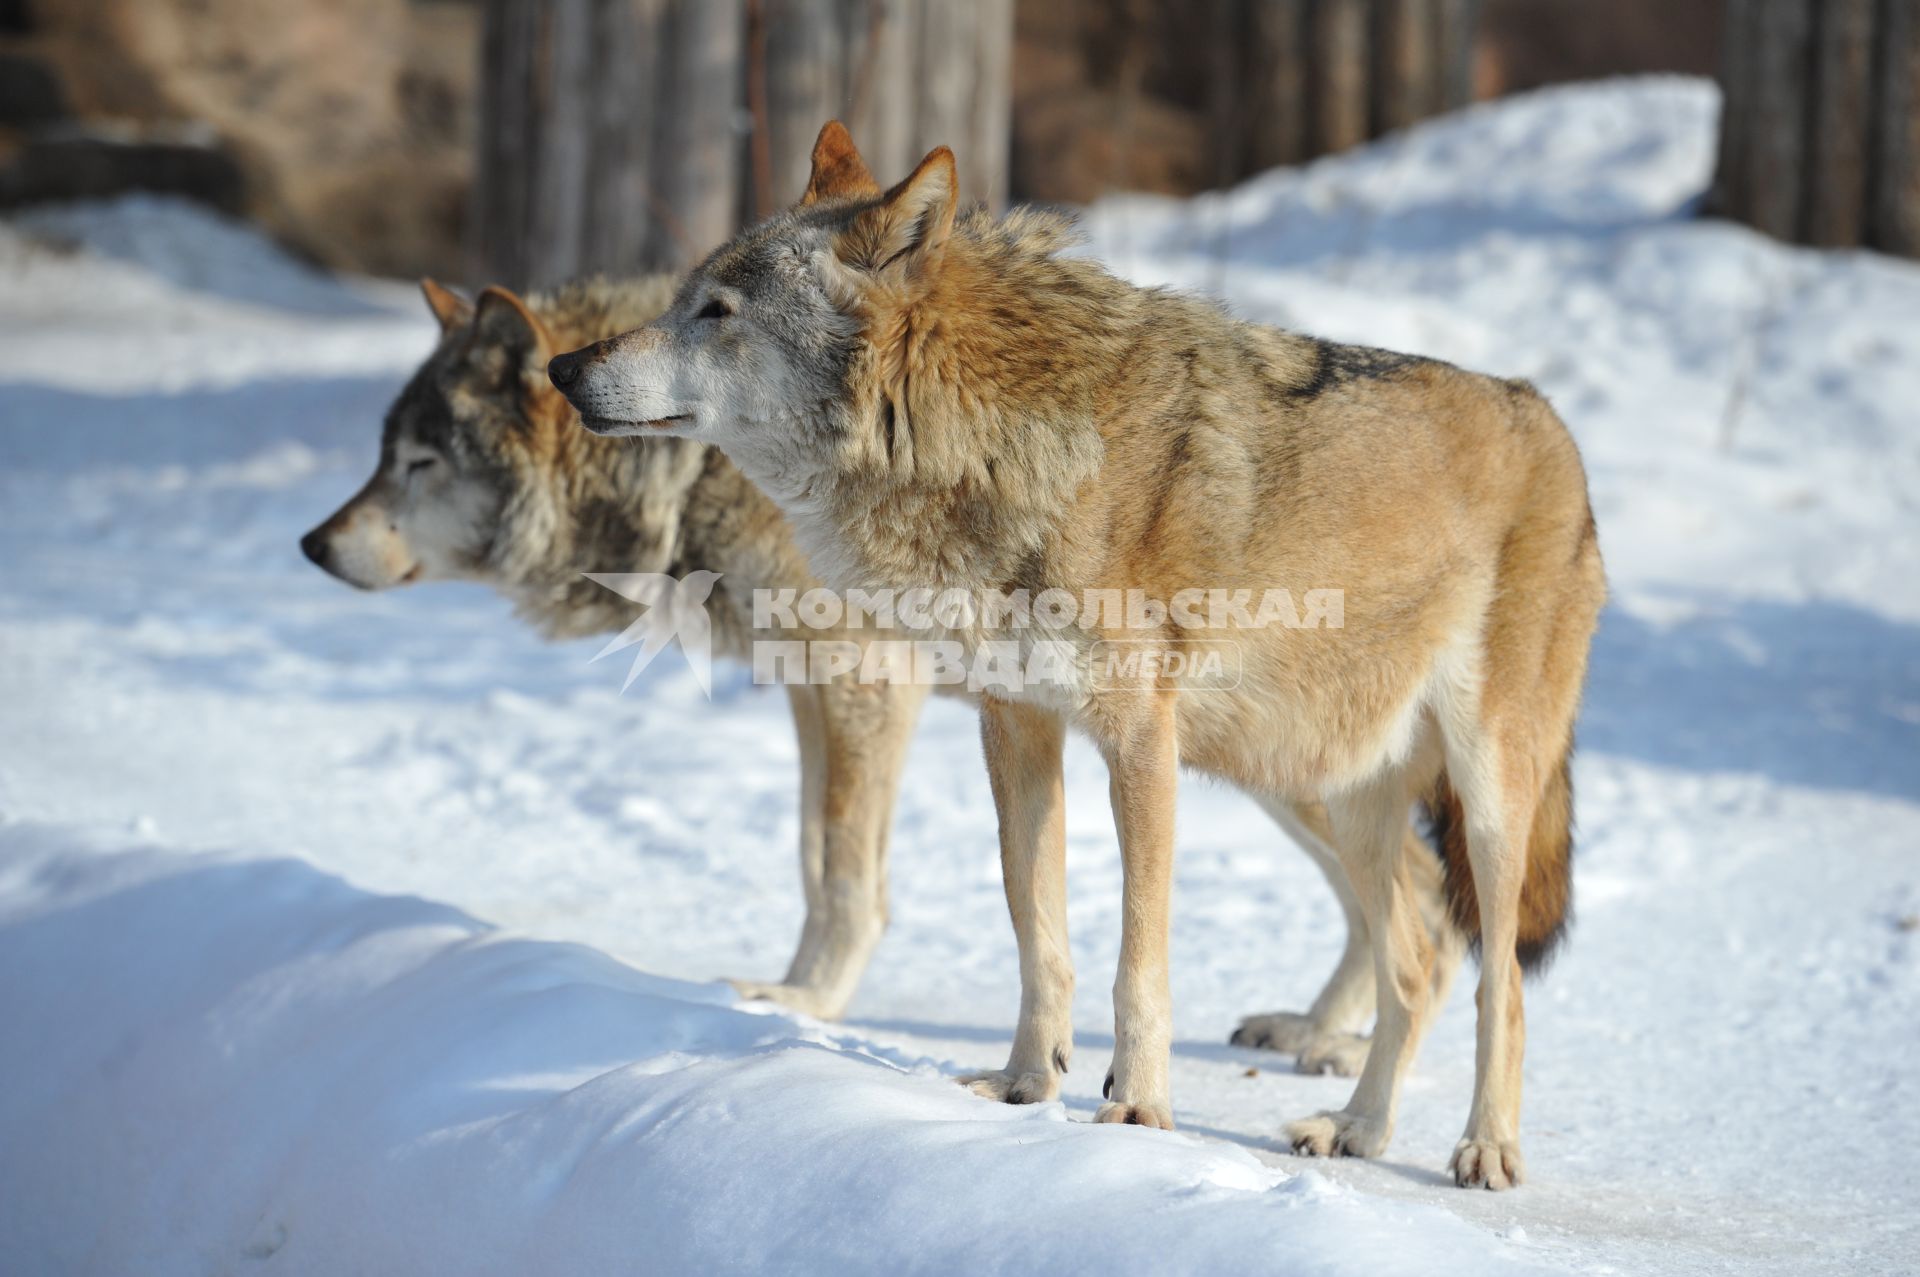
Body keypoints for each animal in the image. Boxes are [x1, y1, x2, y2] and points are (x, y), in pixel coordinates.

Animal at [299, 268, 1451, 1052]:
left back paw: (1334, 1048)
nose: (311, 544)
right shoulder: (808, 692)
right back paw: (1316, 1034)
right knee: (1400, 888)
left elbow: (850, 868)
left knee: (1422, 886)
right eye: (381, 456)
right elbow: (814, 855)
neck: (694, 470)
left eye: (420, 462)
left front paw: (811, 1000)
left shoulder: (864, 682)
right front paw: (787, 989)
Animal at [549, 124, 1597, 1190]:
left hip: (1483, 798)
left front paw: (1136, 1109)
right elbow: (1036, 930)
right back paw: (1355, 1127)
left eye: (717, 312)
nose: (562, 367)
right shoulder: (1016, 727)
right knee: (1417, 964)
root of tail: (1552, 422)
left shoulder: (1138, 741)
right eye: (682, 298)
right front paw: (1023, 1087)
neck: (987, 441)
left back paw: (1485, 1146)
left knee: (1500, 982)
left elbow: (1140, 956)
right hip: (1335, 789)